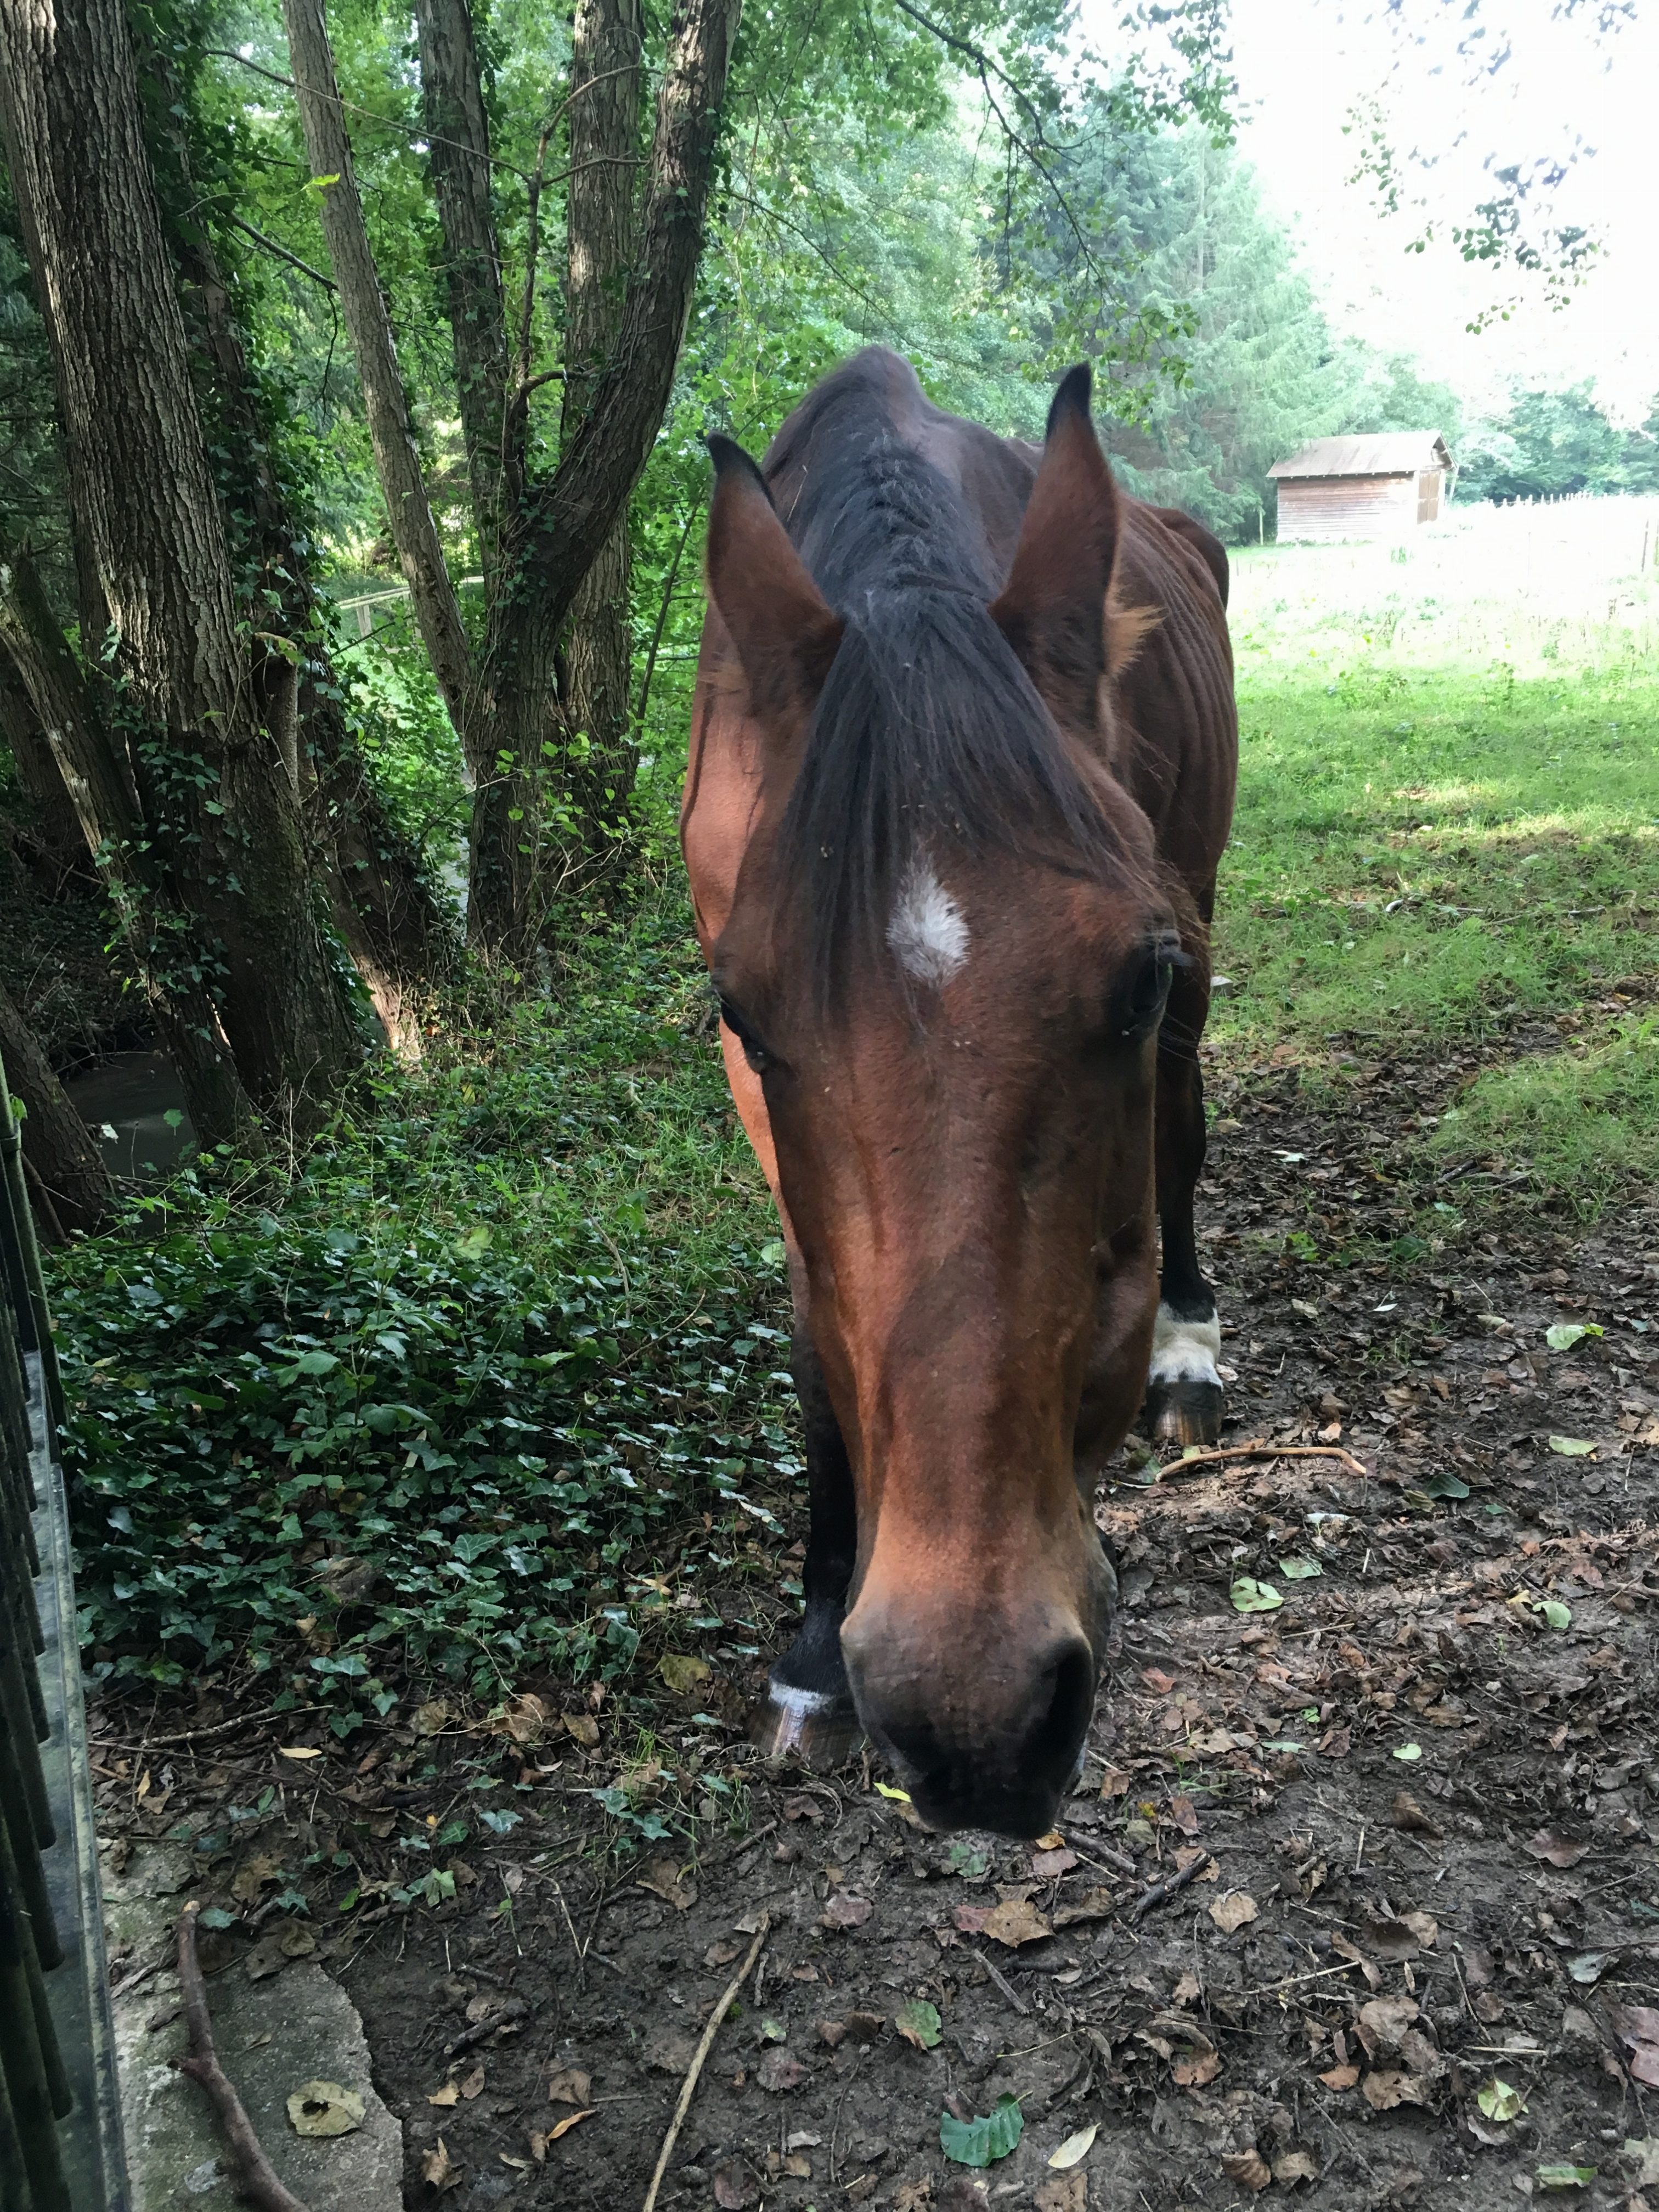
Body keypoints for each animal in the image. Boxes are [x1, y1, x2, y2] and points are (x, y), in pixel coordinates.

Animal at [681, 345, 1238, 1831]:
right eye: (744, 1014)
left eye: (1136, 980)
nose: (976, 1714)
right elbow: (817, 1331)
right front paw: (815, 1648)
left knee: (1183, 1136)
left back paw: (1189, 1342)